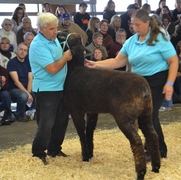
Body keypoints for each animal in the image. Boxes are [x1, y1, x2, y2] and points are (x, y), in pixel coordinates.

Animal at [57, 31, 160, 179]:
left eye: (63, 37)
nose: (58, 32)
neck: (74, 69)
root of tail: (144, 90)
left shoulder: (76, 110)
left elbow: (81, 133)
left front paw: (85, 157)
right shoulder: (92, 110)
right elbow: (89, 131)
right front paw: (90, 154)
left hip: (124, 116)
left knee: (137, 140)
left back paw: (140, 173)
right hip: (146, 114)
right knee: (152, 135)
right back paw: (156, 167)